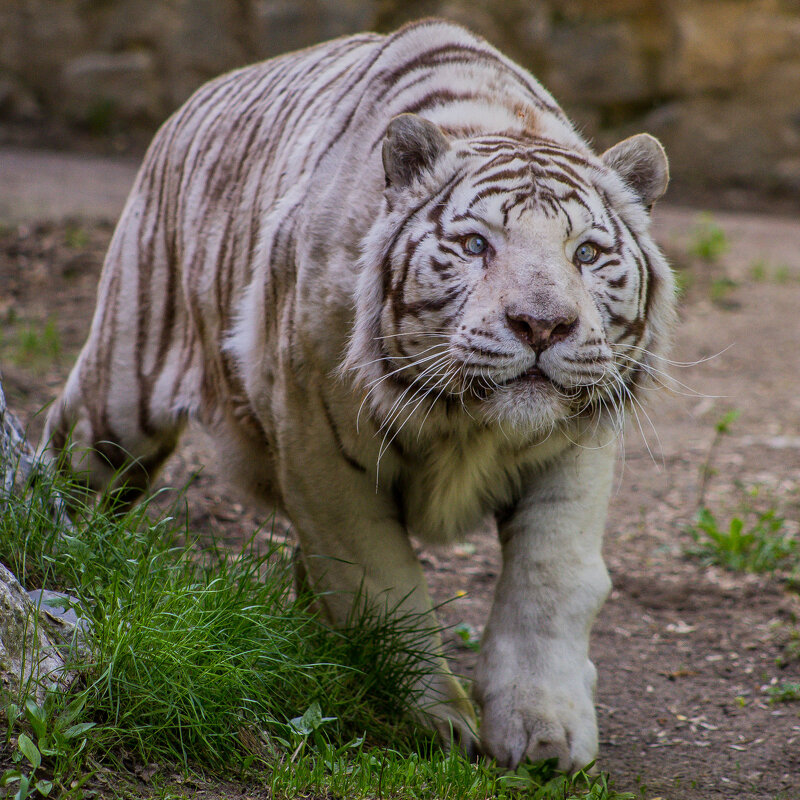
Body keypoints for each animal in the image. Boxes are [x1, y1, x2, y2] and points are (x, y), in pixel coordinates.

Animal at [43, 17, 676, 768]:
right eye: (474, 246)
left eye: (586, 254)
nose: (543, 324)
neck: (471, 426)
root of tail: (191, 104)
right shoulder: (321, 448)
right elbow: (382, 586)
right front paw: (430, 720)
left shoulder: (575, 445)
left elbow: (549, 579)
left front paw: (544, 733)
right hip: (120, 397)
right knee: (67, 466)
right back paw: (54, 554)